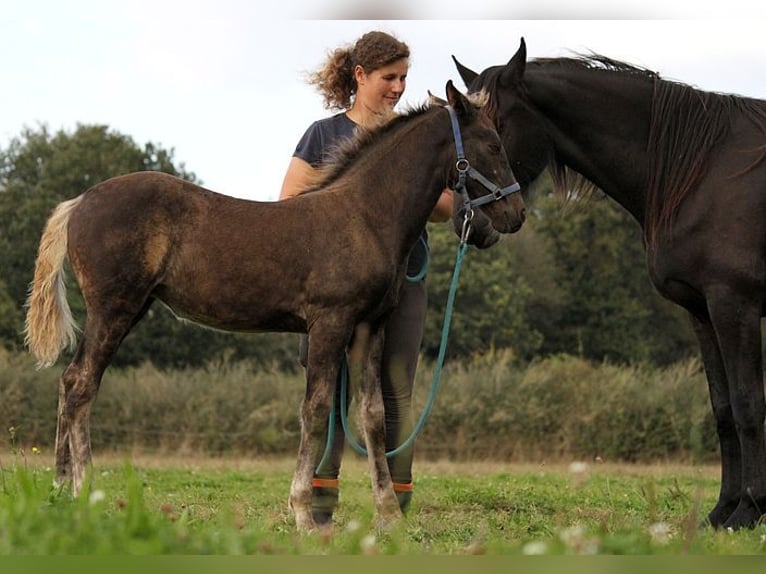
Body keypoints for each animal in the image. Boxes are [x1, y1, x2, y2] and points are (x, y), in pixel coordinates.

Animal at [456, 40, 766, 532]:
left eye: (494, 135)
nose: (473, 223)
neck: (704, 170)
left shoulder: (734, 304)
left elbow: (748, 403)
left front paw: (750, 509)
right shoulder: (701, 311)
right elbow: (723, 409)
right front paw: (722, 511)